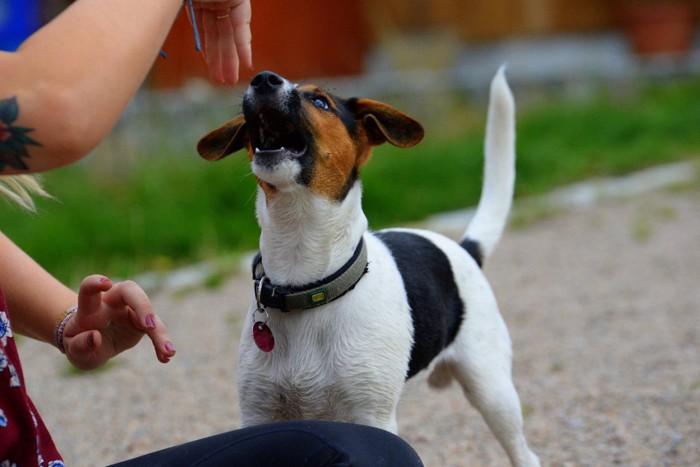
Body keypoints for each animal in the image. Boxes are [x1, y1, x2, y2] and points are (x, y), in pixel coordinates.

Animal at [197, 66, 540, 467]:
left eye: (320, 101)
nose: (263, 78)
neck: (307, 284)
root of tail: (462, 248)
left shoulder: (371, 417)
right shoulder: (259, 414)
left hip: (493, 391)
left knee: (525, 454)